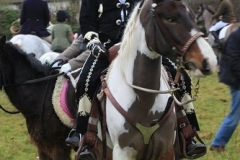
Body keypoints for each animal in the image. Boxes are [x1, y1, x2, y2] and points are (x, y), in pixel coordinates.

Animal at [101, 0, 218, 159]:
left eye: (193, 17)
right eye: (171, 18)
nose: (209, 60)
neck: (144, 101)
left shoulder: (166, 150)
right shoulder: (123, 152)